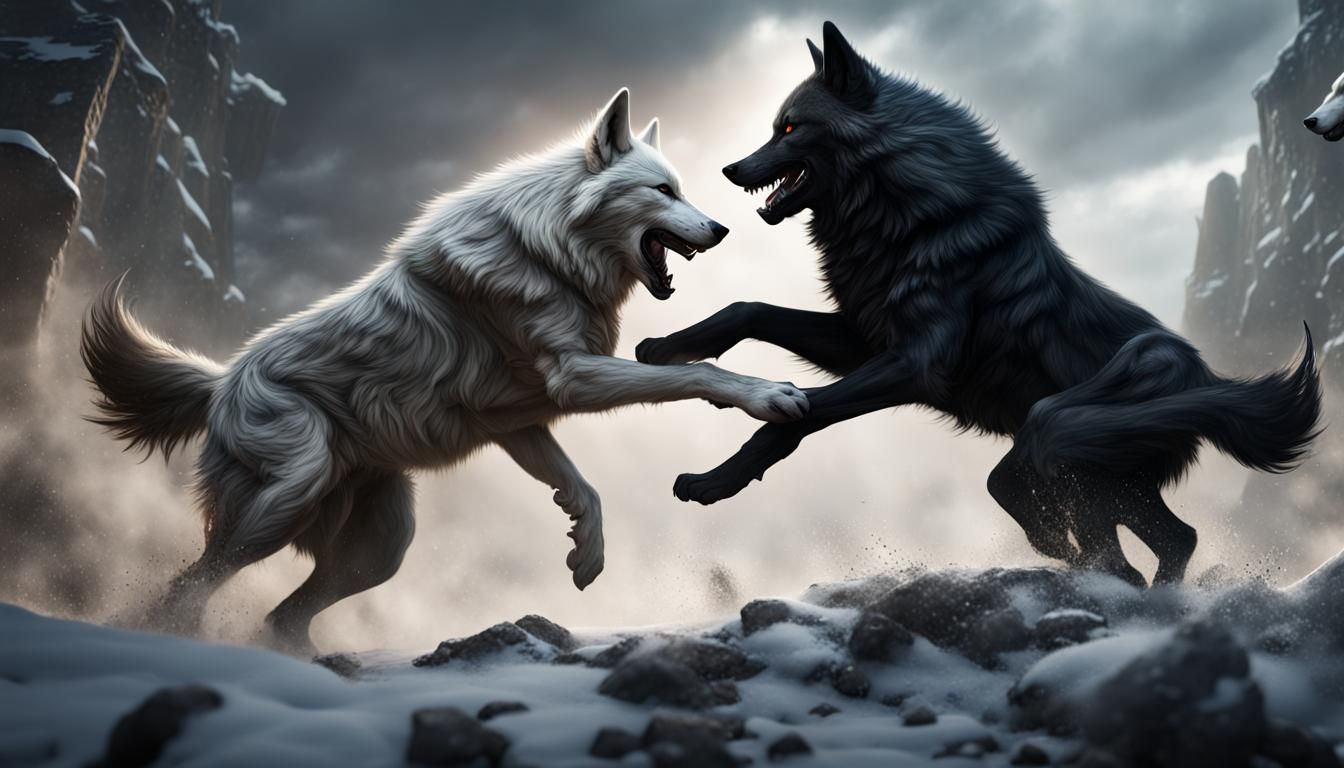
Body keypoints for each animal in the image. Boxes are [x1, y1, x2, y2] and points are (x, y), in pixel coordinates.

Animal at [83, 88, 809, 651]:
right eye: (663, 191)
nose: (722, 229)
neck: (550, 251)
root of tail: (221, 380)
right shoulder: (573, 377)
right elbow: (699, 374)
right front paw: (767, 395)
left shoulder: (520, 421)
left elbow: (583, 488)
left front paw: (587, 553)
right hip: (291, 491)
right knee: (192, 584)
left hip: (381, 549)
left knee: (280, 615)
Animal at [638, 23, 1322, 587]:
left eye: (789, 128)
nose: (729, 169)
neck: (909, 218)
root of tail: (1208, 375)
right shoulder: (864, 341)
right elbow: (748, 310)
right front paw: (666, 351)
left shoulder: (913, 364)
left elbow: (795, 418)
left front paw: (714, 480)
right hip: (1107, 483)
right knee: (1169, 542)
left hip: (1059, 435)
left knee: (1098, 535)